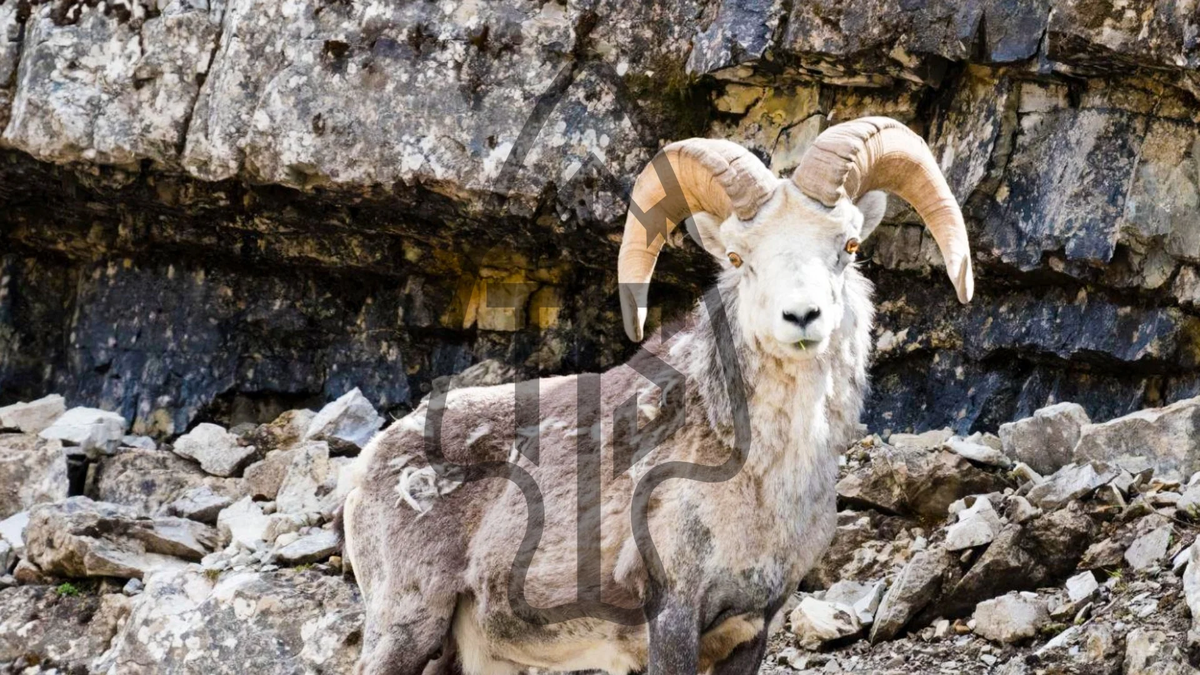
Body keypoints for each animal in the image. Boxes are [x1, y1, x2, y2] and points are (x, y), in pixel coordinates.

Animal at [340, 117, 974, 675]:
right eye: (739, 257)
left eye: (848, 244)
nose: (802, 316)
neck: (765, 482)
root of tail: (371, 465)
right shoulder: (671, 615)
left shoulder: (752, 628)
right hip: (407, 627)